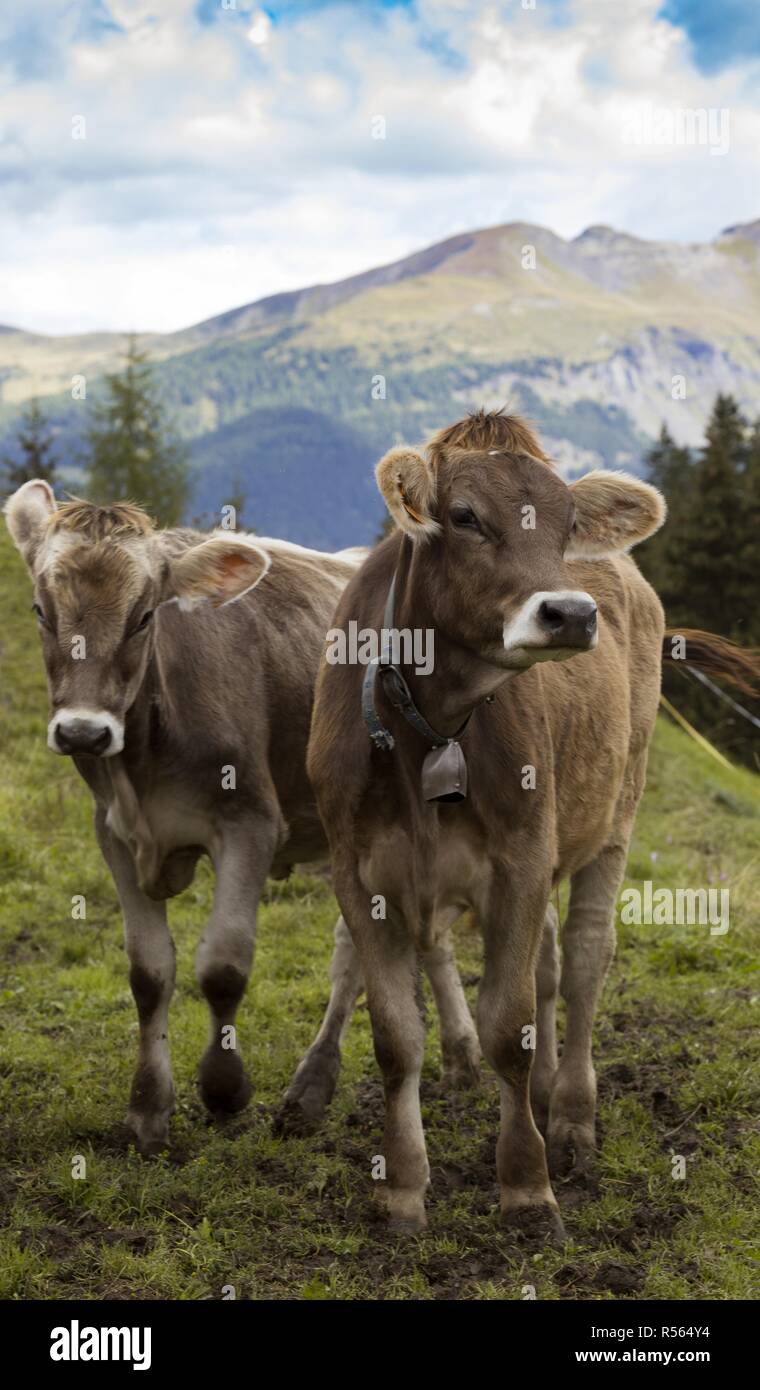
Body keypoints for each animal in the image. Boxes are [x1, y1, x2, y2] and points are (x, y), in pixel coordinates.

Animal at [280, 409, 759, 1240]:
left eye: (568, 524)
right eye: (465, 517)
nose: (571, 613)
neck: (429, 728)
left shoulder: (522, 860)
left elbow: (506, 1028)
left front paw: (528, 1188)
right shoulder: (360, 871)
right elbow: (396, 1037)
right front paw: (402, 1189)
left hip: (614, 818)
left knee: (585, 959)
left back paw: (568, 1116)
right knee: (546, 965)